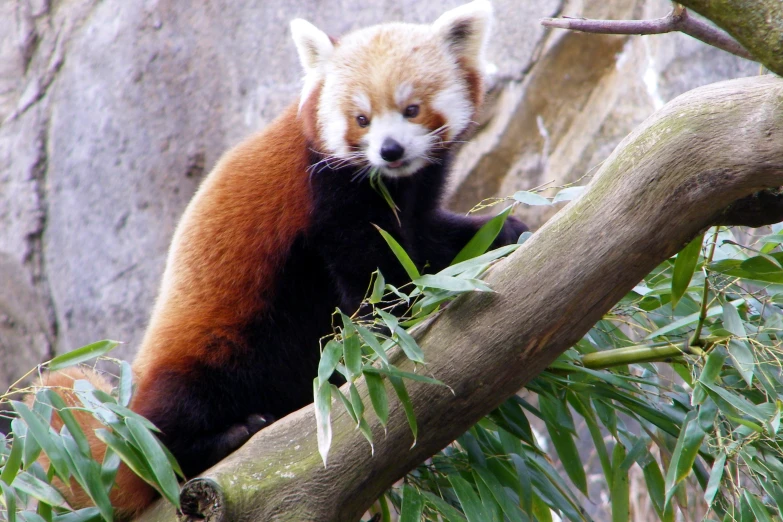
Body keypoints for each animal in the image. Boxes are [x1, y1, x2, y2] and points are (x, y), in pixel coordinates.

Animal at [41, 0, 528, 512]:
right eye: (361, 119)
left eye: (412, 109)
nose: (389, 150)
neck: (392, 181)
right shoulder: (329, 194)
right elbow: (368, 269)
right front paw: (397, 314)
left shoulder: (414, 196)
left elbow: (428, 241)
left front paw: (506, 231)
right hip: (215, 352)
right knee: (168, 429)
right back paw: (223, 437)